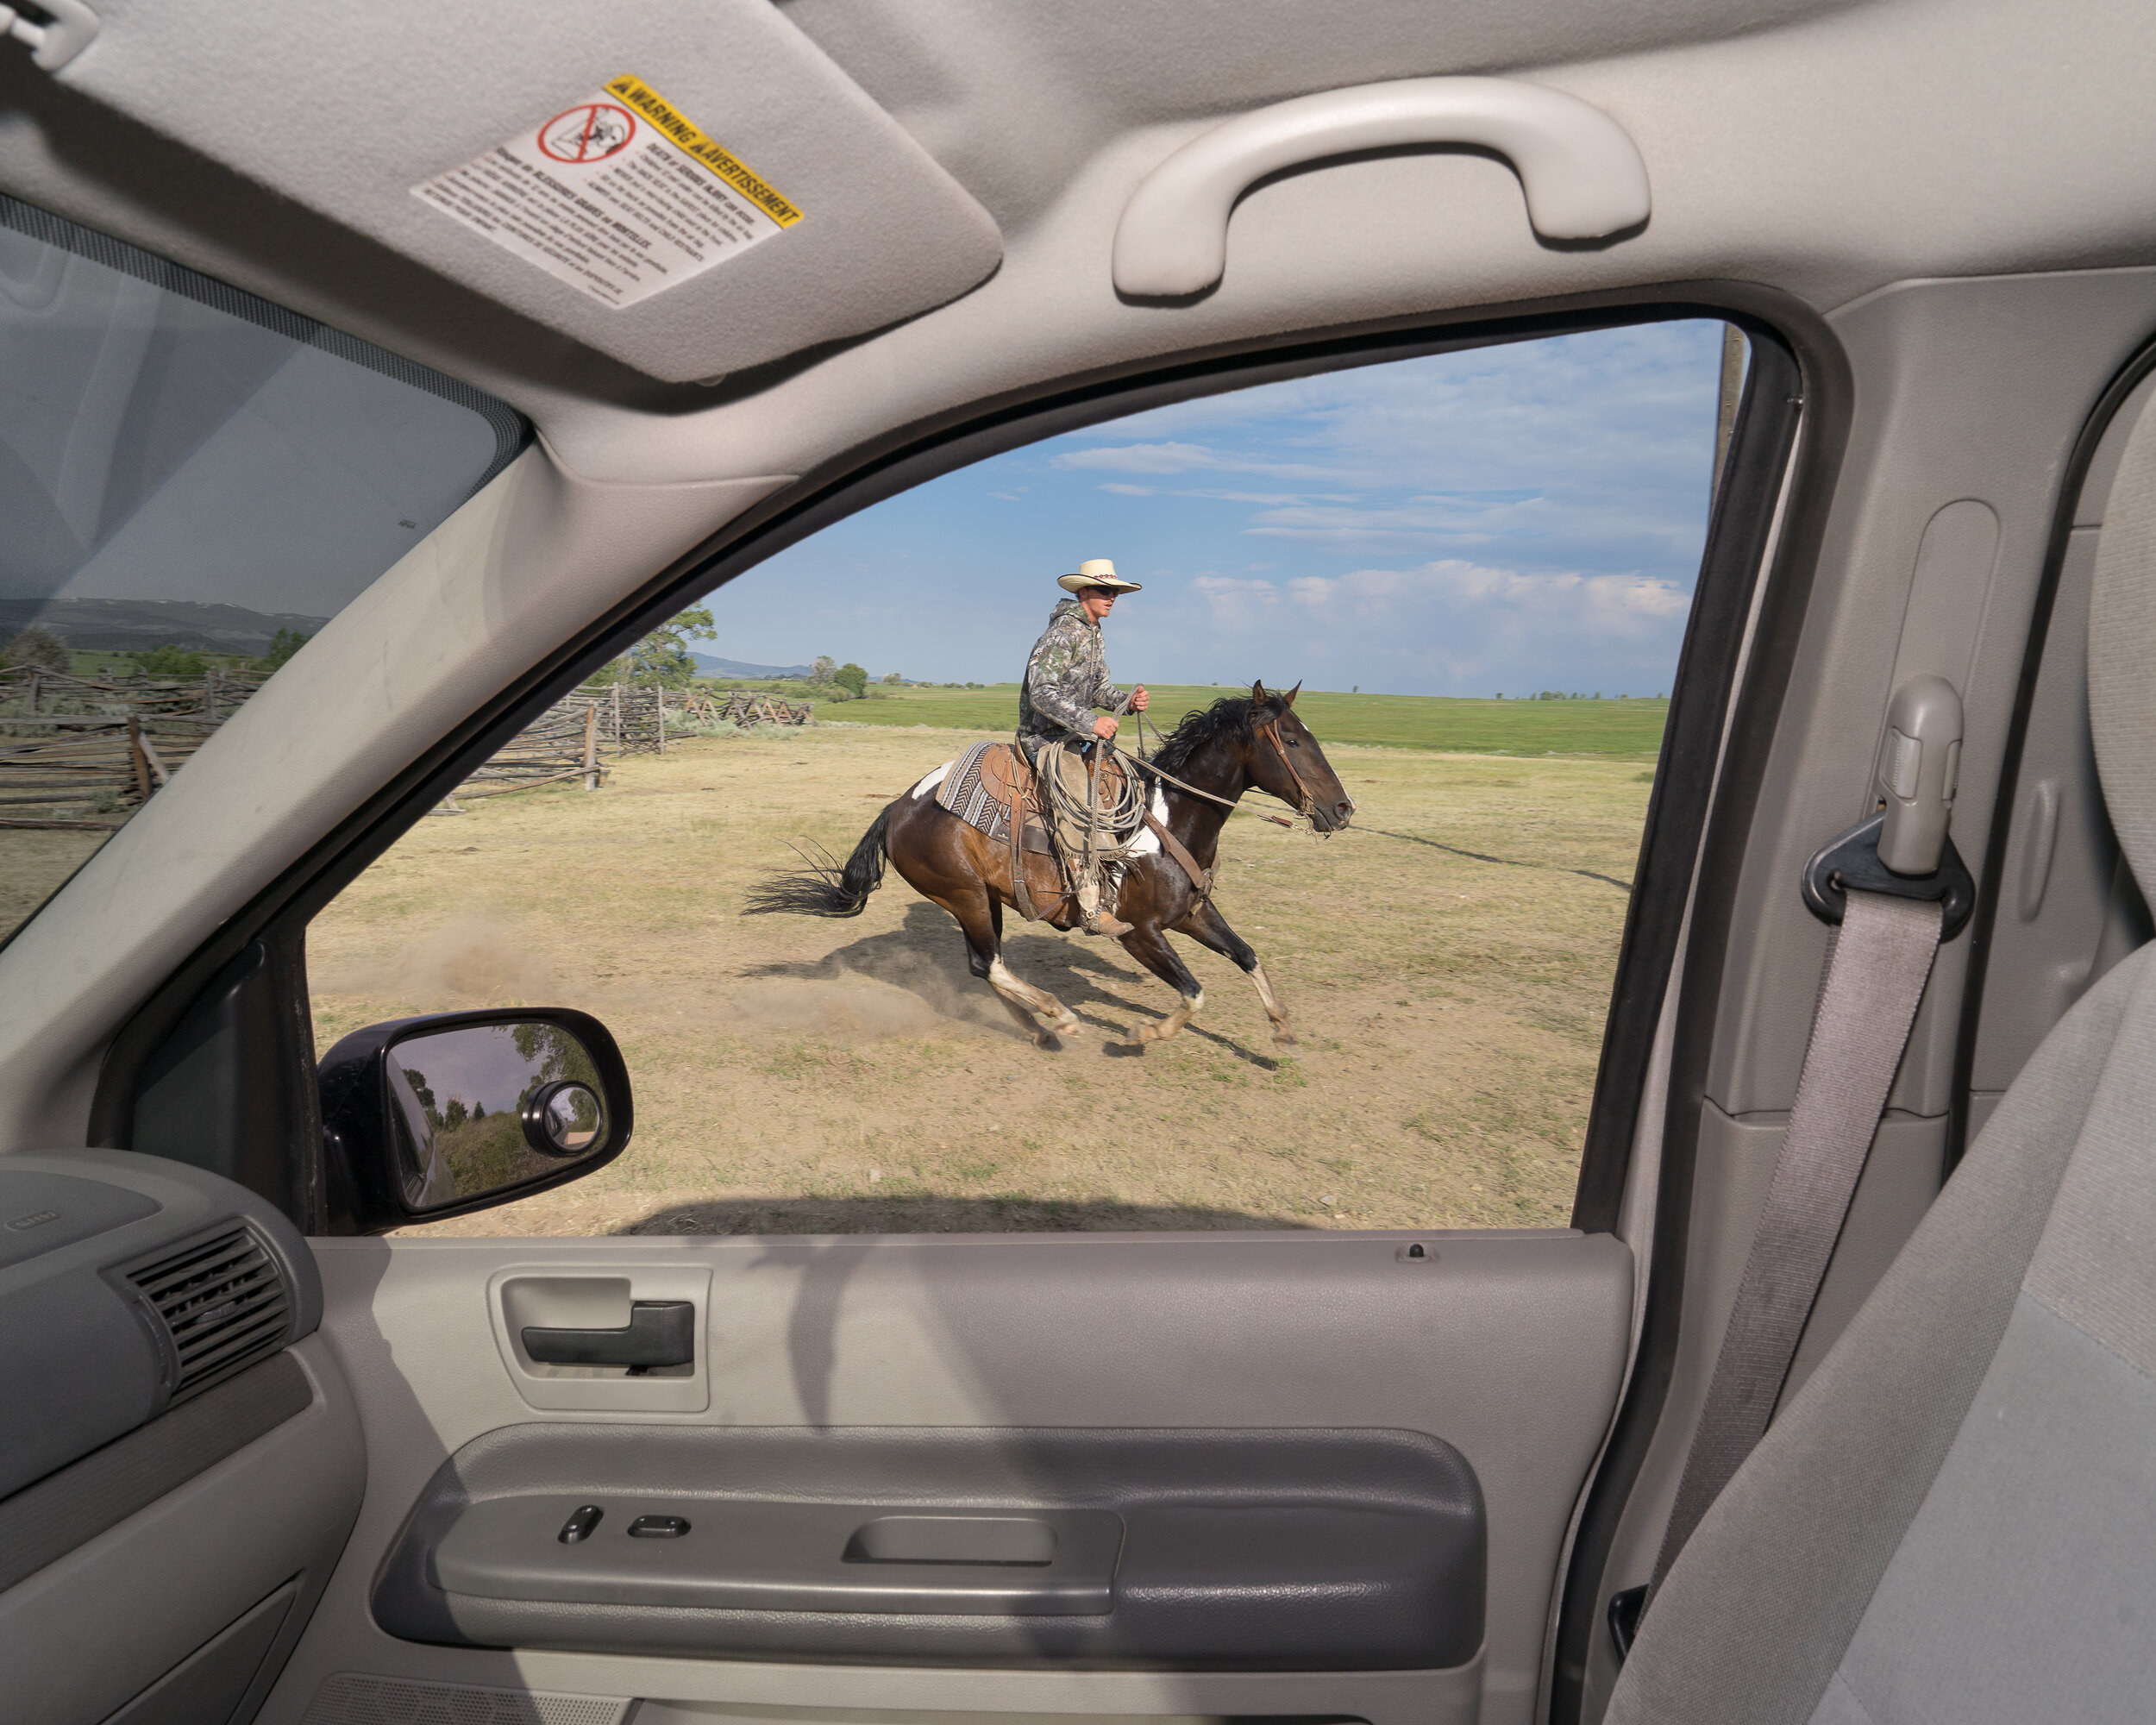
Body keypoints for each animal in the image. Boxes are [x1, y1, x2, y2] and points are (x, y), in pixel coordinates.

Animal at [742, 681, 1345, 1044]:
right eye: (1292, 740)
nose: (1343, 809)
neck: (1170, 819)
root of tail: (898, 807)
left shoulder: (1192, 914)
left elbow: (1246, 955)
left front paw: (1280, 1027)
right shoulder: (1140, 933)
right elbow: (1194, 992)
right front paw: (1146, 1034)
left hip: (983, 898)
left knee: (983, 966)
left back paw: (1038, 1029)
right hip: (965, 896)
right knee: (991, 965)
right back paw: (1059, 1016)